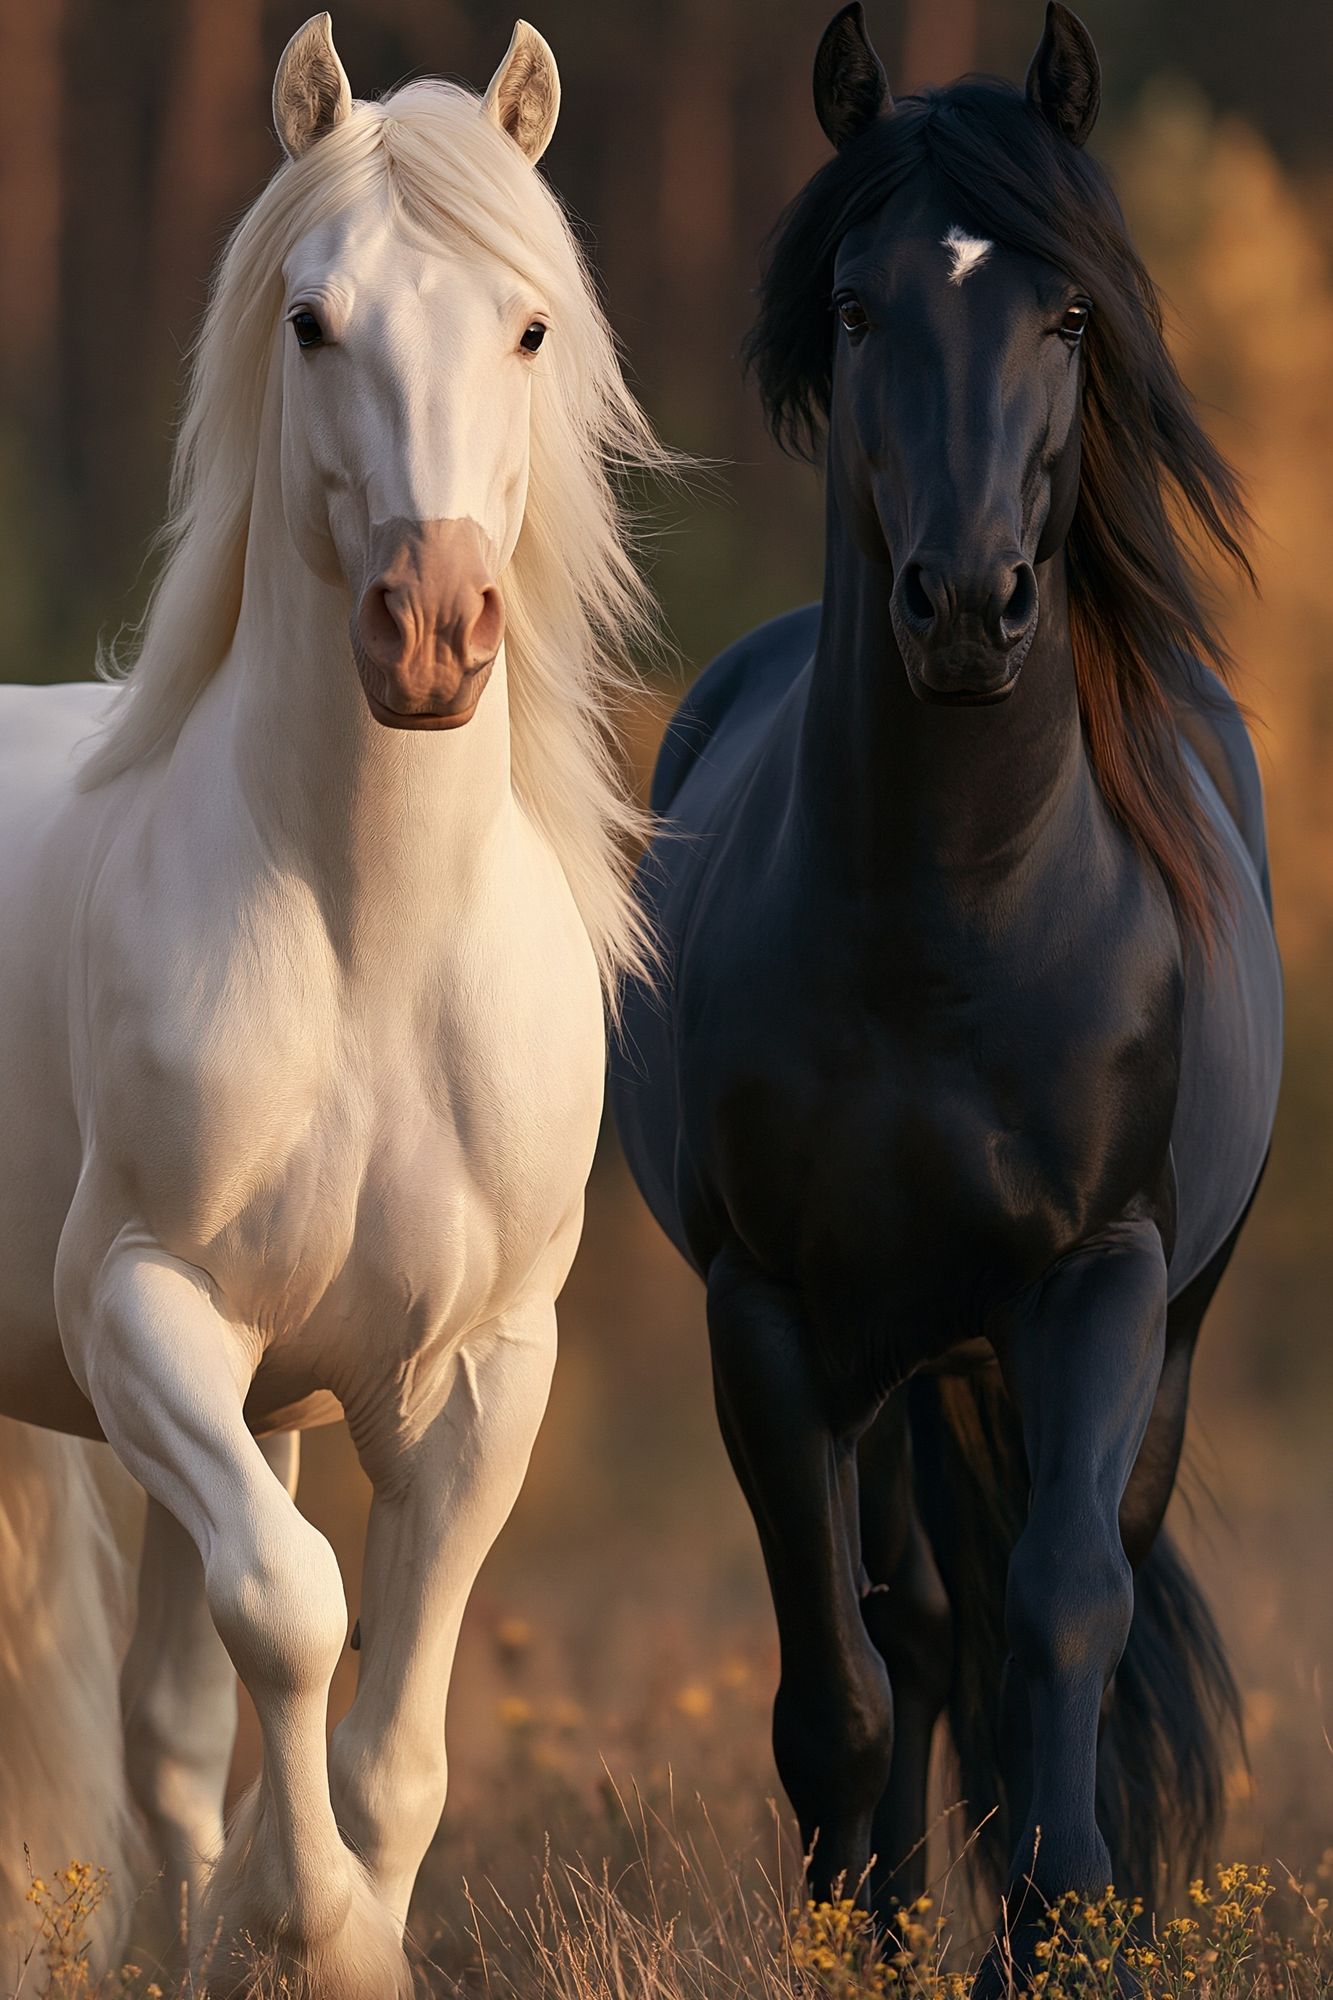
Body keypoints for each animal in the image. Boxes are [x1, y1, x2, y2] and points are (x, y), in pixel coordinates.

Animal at [0, 16, 673, 1995]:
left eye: (526, 327)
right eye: (310, 320)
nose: (432, 627)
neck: (370, 943)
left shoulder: (468, 1373)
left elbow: (386, 1733)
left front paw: (322, 1922)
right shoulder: (140, 1310)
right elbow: (292, 1617)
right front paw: (293, 1919)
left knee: (157, 1719)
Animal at [610, 2, 1282, 1979]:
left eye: (1065, 317)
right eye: (856, 308)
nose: (971, 608)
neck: (951, 920)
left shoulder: (1099, 1280)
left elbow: (1062, 1611)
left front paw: (1060, 1924)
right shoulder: (766, 1315)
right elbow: (830, 1686)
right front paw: (866, 1937)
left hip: (1138, 1329)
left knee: (1048, 1594)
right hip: (892, 1354)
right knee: (901, 1625)